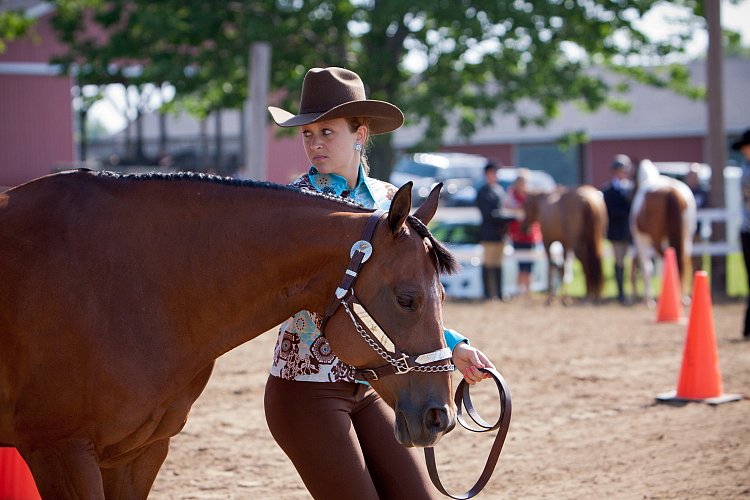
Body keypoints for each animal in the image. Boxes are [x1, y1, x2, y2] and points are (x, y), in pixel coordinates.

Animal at [636, 159, 700, 304]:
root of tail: (671, 191)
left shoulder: (641, 240)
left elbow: (648, 268)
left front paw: (649, 298)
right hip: (686, 237)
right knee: (683, 261)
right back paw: (682, 296)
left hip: (656, 239)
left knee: (663, 262)